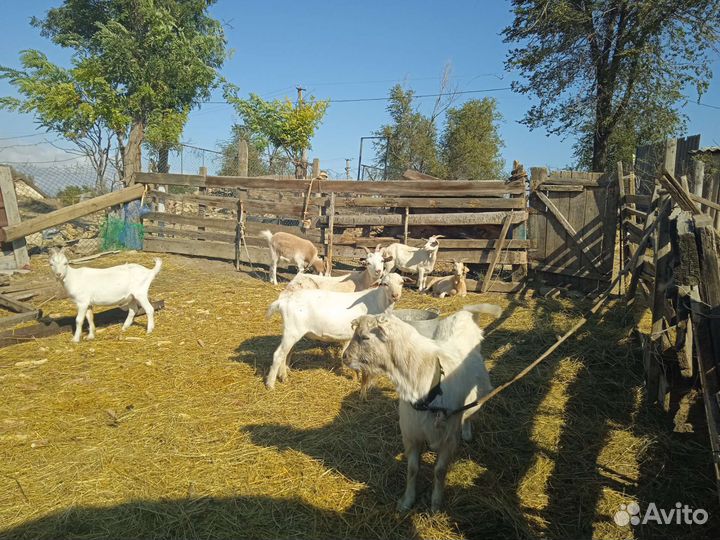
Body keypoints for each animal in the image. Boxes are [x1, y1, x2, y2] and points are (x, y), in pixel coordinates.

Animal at [264, 272, 405, 389]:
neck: (379, 301)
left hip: (291, 331)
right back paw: (270, 384)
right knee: (278, 355)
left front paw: (355, 375)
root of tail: (283, 302)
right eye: (384, 284)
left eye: (401, 282)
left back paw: (283, 376)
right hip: (292, 331)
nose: (395, 295)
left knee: (285, 353)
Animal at [343, 303, 502, 512]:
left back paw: (467, 432)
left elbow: (440, 471)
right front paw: (407, 501)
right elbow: (412, 470)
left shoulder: (448, 438)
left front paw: (436, 503)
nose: (344, 357)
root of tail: (464, 313)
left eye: (365, 337)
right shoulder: (412, 435)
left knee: (469, 414)